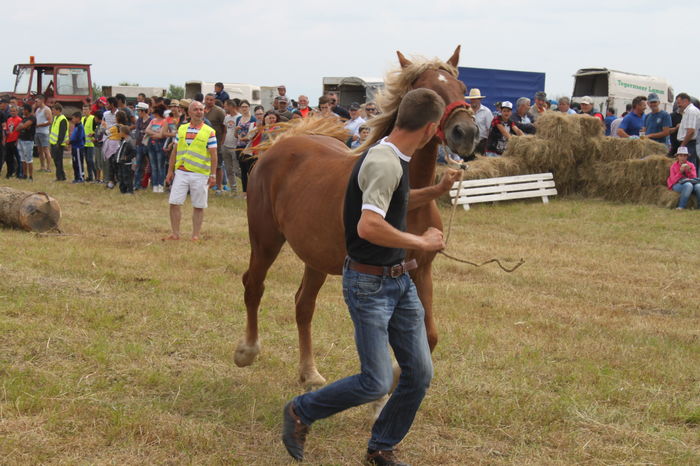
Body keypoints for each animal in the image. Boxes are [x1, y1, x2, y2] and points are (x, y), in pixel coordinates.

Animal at [235, 46, 478, 388]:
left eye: (461, 87)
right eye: (427, 88)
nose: (465, 133)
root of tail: (282, 144)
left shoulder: (421, 271)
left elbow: (428, 337)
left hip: (315, 256)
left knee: (303, 305)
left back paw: (309, 372)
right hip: (266, 239)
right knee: (254, 285)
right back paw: (247, 351)